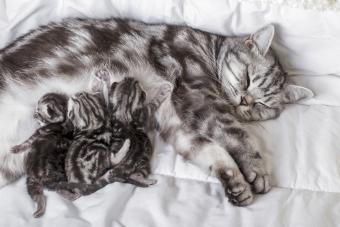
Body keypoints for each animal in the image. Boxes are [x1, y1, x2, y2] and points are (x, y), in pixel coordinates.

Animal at [0, 17, 310, 206]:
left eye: (262, 105)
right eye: (246, 79)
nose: (245, 101)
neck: (208, 49)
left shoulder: (175, 119)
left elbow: (208, 150)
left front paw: (235, 181)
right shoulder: (200, 96)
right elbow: (237, 134)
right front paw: (256, 169)